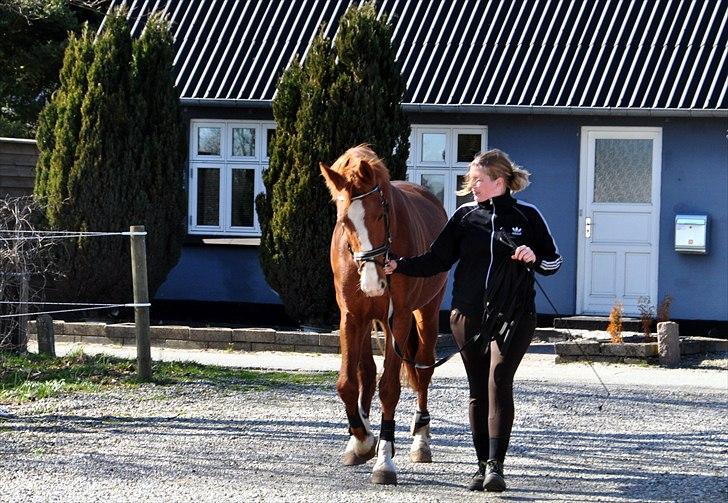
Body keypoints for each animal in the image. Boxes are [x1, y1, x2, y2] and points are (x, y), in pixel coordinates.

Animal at [320, 145, 446, 484]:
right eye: (344, 222)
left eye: (380, 214)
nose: (373, 282)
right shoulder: (351, 317)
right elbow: (348, 383)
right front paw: (362, 440)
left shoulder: (398, 319)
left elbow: (390, 388)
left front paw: (385, 460)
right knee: (367, 371)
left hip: (426, 312)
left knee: (423, 370)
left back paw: (421, 441)